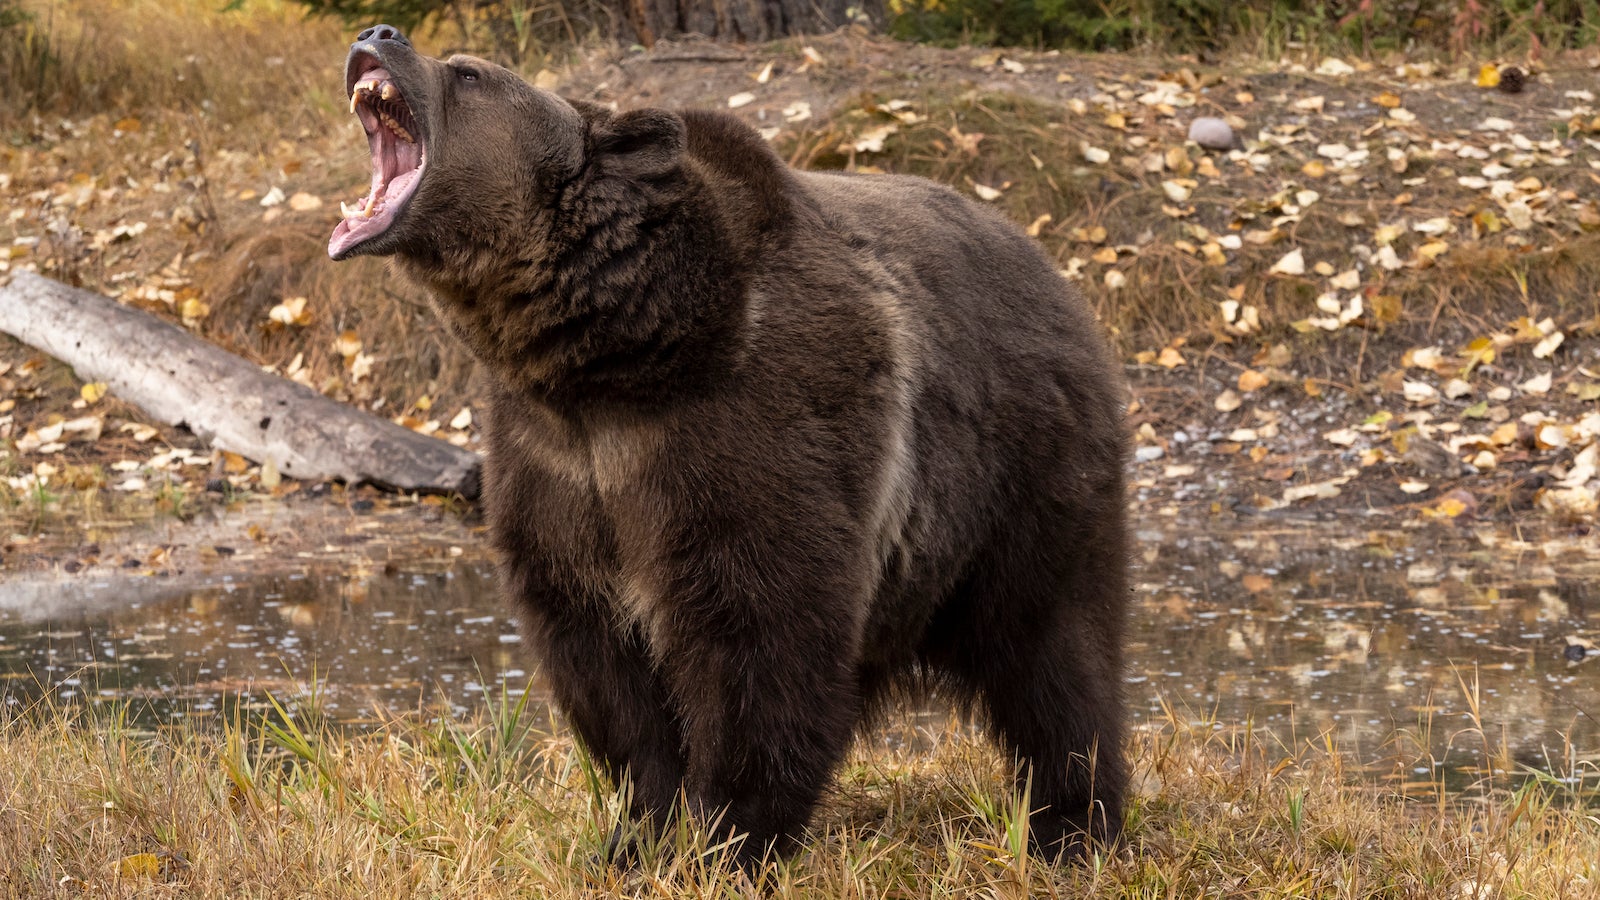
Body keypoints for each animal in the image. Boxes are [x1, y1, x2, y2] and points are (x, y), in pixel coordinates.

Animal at [329, 24, 1130, 864]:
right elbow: (603, 665)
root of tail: (1054, 269)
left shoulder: (745, 431)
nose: (380, 32)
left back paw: (1074, 823)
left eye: (470, 74)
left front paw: (729, 837)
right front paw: (638, 835)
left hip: (1021, 475)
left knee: (1053, 652)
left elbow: (759, 637)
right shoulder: (557, 468)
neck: (610, 359)